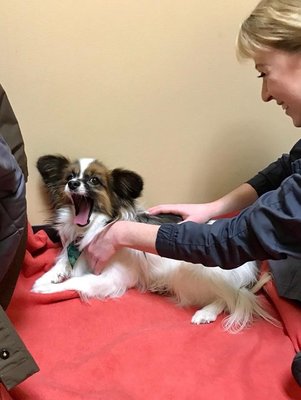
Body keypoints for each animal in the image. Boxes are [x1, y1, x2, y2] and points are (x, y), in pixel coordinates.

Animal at [32, 155, 274, 332]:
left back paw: (206, 312)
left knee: (233, 296)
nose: (72, 184)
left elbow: (78, 281)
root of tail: (250, 266)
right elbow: (63, 264)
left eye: (94, 181)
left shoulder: (113, 277)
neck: (93, 227)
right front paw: (45, 278)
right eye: (69, 176)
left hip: (189, 273)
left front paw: (47, 288)